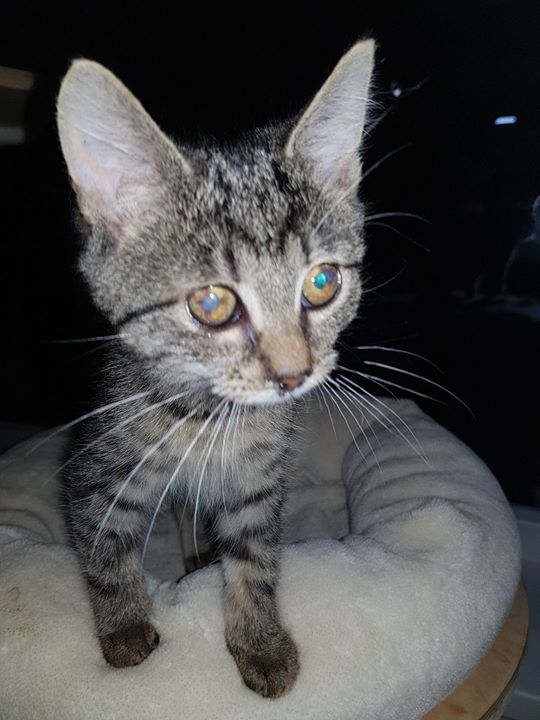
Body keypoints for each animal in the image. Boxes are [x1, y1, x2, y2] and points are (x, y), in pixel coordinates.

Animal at [56, 39, 374, 698]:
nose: (293, 375)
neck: (210, 413)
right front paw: (125, 629)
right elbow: (103, 543)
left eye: (322, 283)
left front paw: (260, 640)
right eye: (211, 303)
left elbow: (254, 556)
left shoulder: (259, 478)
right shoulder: (96, 464)